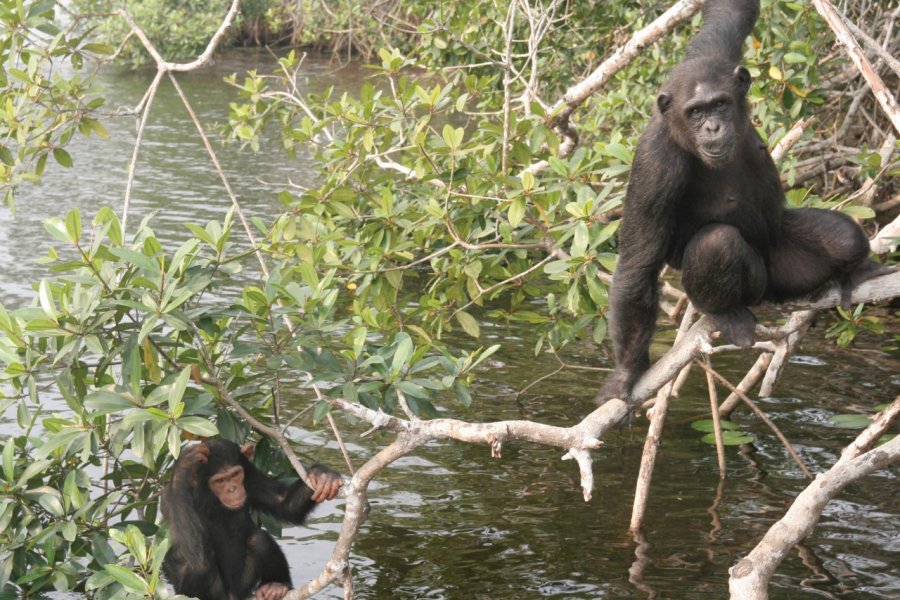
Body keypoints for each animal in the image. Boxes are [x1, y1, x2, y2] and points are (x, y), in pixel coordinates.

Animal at [162, 438, 344, 600]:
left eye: (235, 474)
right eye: (220, 481)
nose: (232, 489)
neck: (211, 498)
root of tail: (233, 595)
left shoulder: (250, 478)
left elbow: (283, 503)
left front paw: (322, 476)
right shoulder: (170, 499)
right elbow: (193, 555)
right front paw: (184, 465)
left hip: (243, 585)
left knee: (259, 540)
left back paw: (277, 586)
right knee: (195, 567)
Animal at [596, 0, 884, 406]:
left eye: (719, 104)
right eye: (695, 112)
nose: (712, 127)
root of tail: (771, 290)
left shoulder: (714, 52)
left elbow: (728, 17)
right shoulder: (655, 163)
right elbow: (639, 265)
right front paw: (625, 376)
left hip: (784, 259)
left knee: (845, 237)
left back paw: (853, 272)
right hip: (753, 283)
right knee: (716, 243)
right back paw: (727, 313)